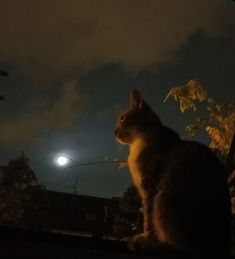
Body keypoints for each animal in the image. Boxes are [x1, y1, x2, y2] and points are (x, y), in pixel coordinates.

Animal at [114, 90, 230, 258]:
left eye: (122, 118)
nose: (114, 132)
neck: (138, 143)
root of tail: (218, 250)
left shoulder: (149, 188)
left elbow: (148, 220)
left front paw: (146, 237)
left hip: (163, 197)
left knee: (182, 249)